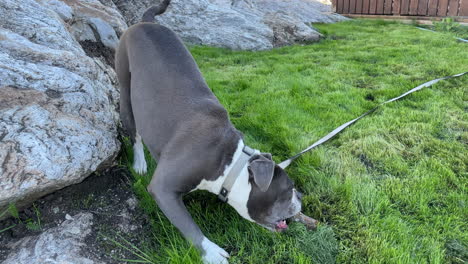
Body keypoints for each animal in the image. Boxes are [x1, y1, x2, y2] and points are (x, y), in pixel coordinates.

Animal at [115, 1, 302, 262]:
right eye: (288, 190)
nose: (301, 198)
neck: (229, 163)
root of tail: (146, 22)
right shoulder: (163, 188)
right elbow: (187, 223)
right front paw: (211, 251)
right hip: (125, 87)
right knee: (135, 131)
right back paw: (139, 162)